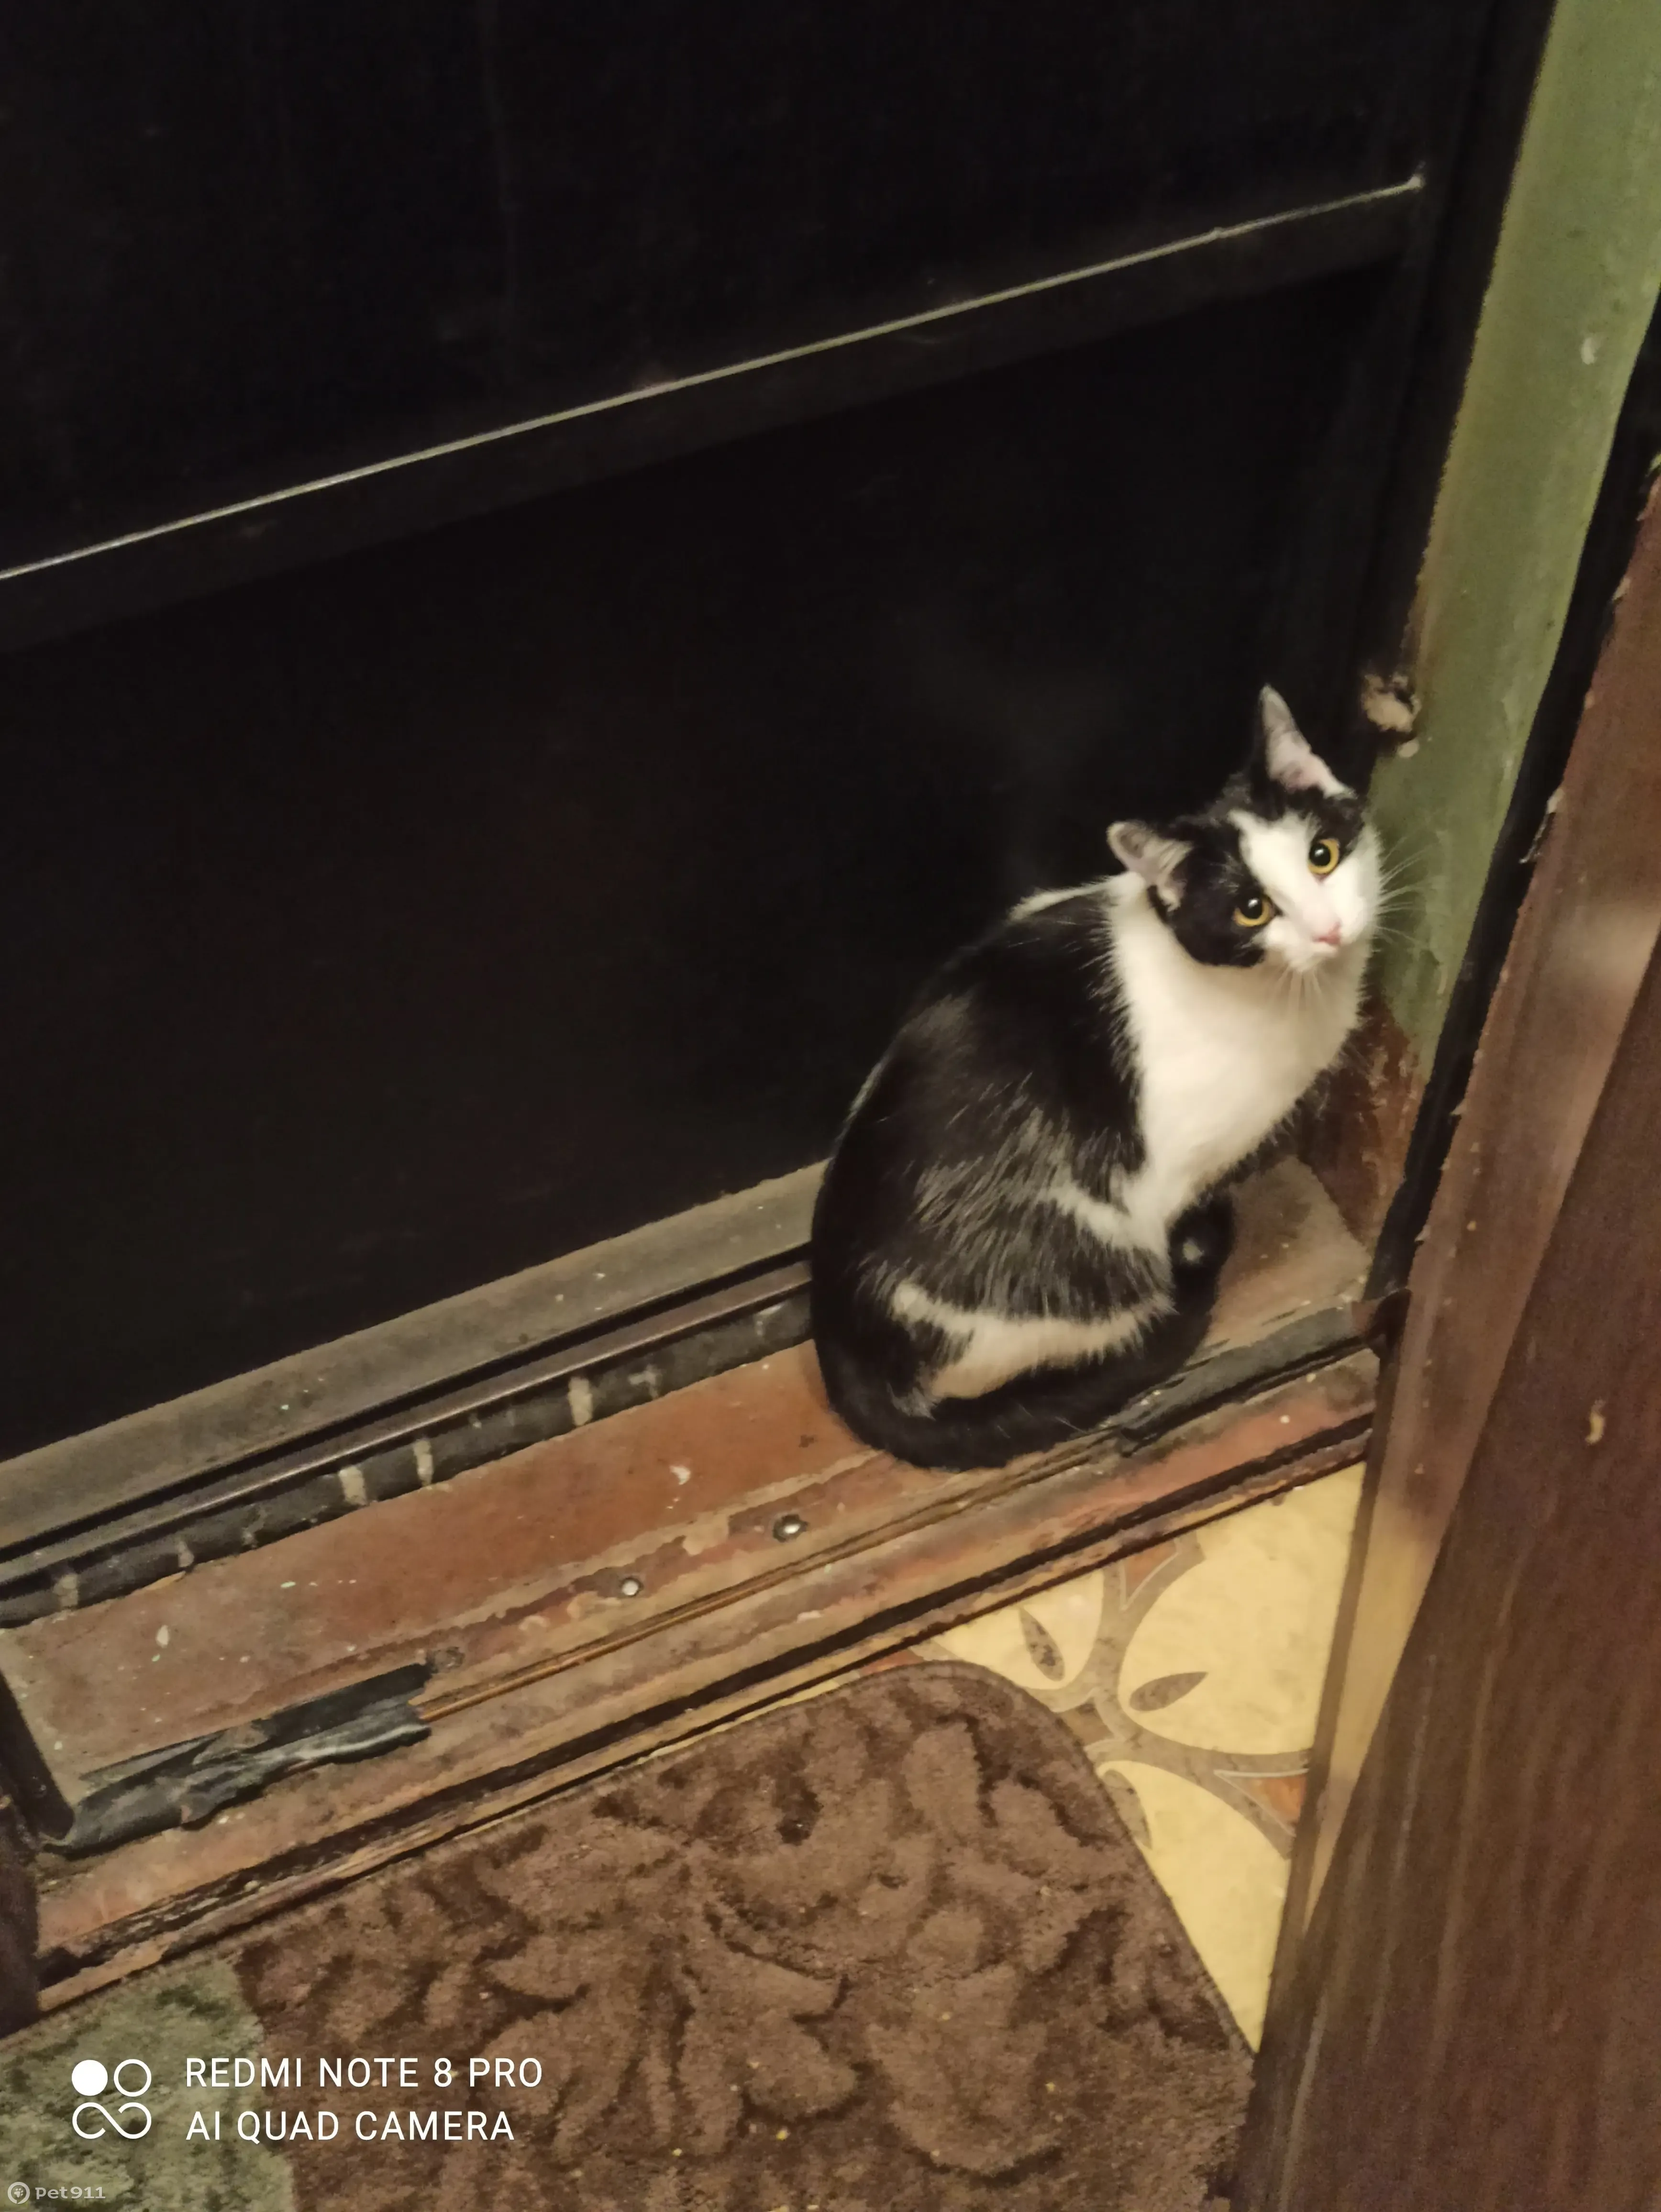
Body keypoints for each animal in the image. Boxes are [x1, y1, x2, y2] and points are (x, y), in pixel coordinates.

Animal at [810, 686, 1380, 1470]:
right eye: (1252, 909)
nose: (1328, 931)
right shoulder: (1170, 1175)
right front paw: (1196, 1242)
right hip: (1087, 1261)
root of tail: (844, 1332)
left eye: (1322, 856)